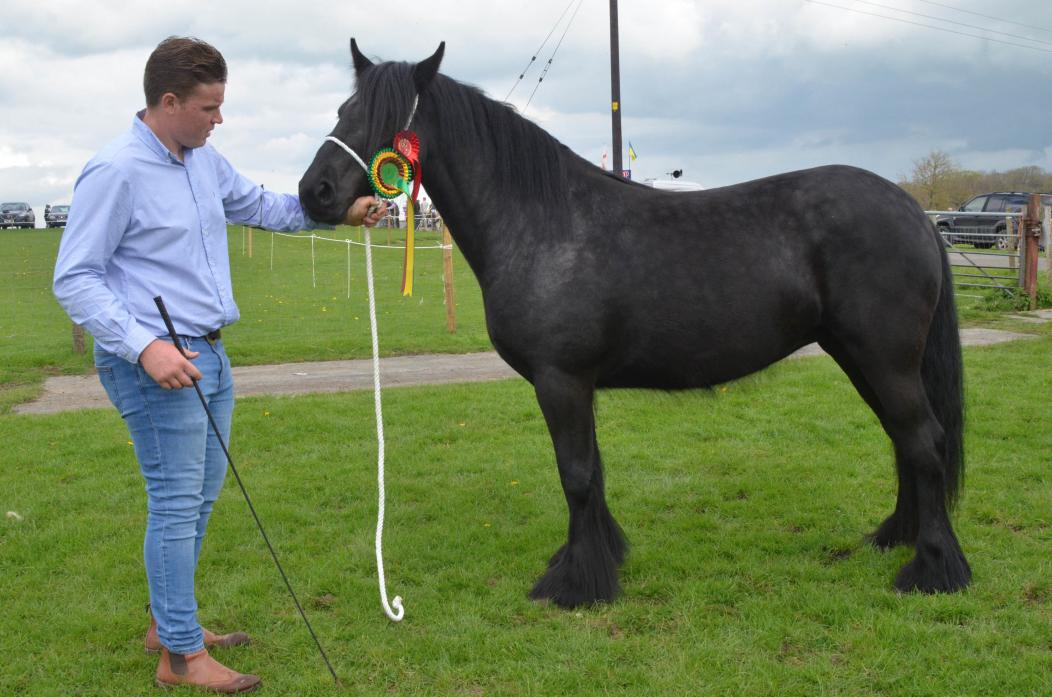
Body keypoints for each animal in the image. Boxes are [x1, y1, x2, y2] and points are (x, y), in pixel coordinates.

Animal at [296, 41, 967, 609]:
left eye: (386, 121)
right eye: (344, 109)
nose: (314, 192)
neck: (543, 220)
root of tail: (914, 209)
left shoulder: (561, 380)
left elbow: (576, 475)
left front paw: (575, 585)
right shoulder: (575, 385)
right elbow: (591, 472)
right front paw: (596, 558)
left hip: (883, 359)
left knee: (923, 441)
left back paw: (933, 569)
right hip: (861, 358)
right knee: (906, 442)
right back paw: (897, 537)